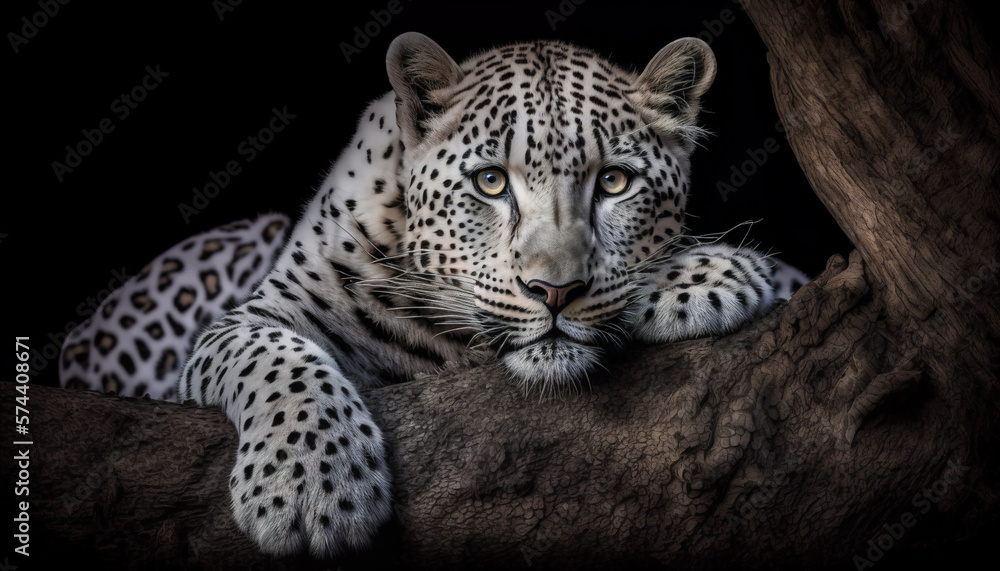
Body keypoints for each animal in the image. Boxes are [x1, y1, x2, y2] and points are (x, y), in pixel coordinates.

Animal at [60, 32, 808, 557]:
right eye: (490, 182)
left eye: (615, 182)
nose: (554, 291)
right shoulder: (260, 312)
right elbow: (280, 359)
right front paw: (309, 491)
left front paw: (711, 273)